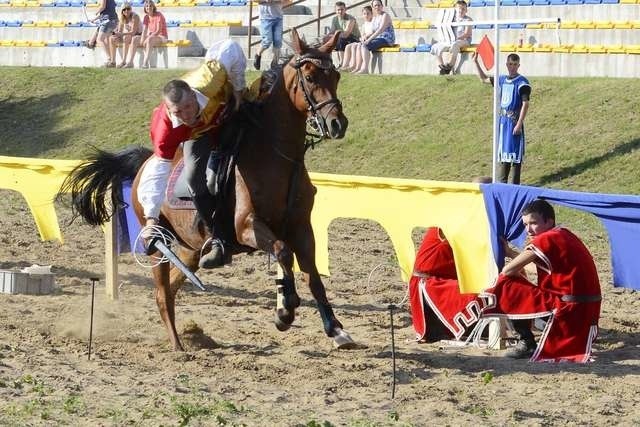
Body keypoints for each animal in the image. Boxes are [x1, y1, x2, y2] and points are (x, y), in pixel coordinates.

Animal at [61, 29, 356, 352]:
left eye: (336, 75)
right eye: (311, 77)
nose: (337, 123)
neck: (276, 156)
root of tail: (145, 164)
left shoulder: (302, 227)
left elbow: (312, 276)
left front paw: (336, 329)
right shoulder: (247, 227)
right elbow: (282, 252)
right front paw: (285, 311)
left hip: (190, 250)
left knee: (174, 285)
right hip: (158, 247)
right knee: (161, 292)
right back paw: (178, 346)